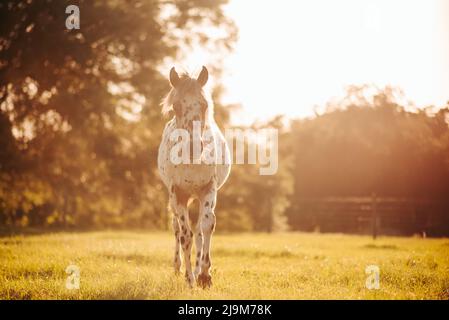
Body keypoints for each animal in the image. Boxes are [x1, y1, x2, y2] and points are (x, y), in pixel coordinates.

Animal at [158, 65, 231, 288]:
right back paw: (178, 267)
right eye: (176, 106)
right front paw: (189, 279)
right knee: (177, 229)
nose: (194, 146)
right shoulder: (178, 194)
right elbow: (185, 236)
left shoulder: (208, 189)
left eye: (205, 104)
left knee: (199, 231)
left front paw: (205, 276)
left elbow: (206, 227)